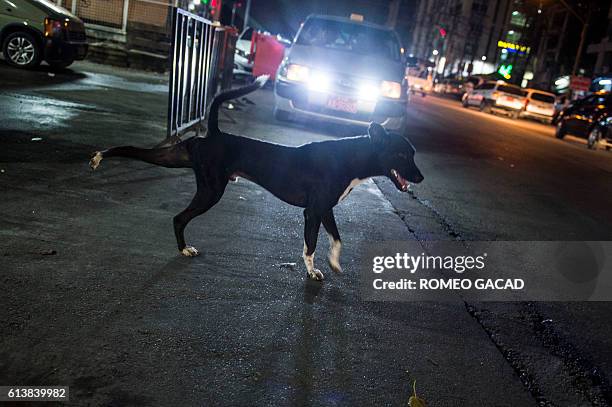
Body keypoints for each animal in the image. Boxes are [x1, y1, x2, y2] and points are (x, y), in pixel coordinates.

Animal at [91, 75, 424, 280]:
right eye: (402, 155)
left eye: (413, 153)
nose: (420, 178)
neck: (350, 157)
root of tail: (214, 134)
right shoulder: (313, 211)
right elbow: (310, 244)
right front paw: (312, 271)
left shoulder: (325, 208)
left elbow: (337, 239)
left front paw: (333, 263)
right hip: (210, 191)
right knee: (178, 217)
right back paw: (183, 248)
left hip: (179, 158)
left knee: (137, 152)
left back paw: (100, 155)